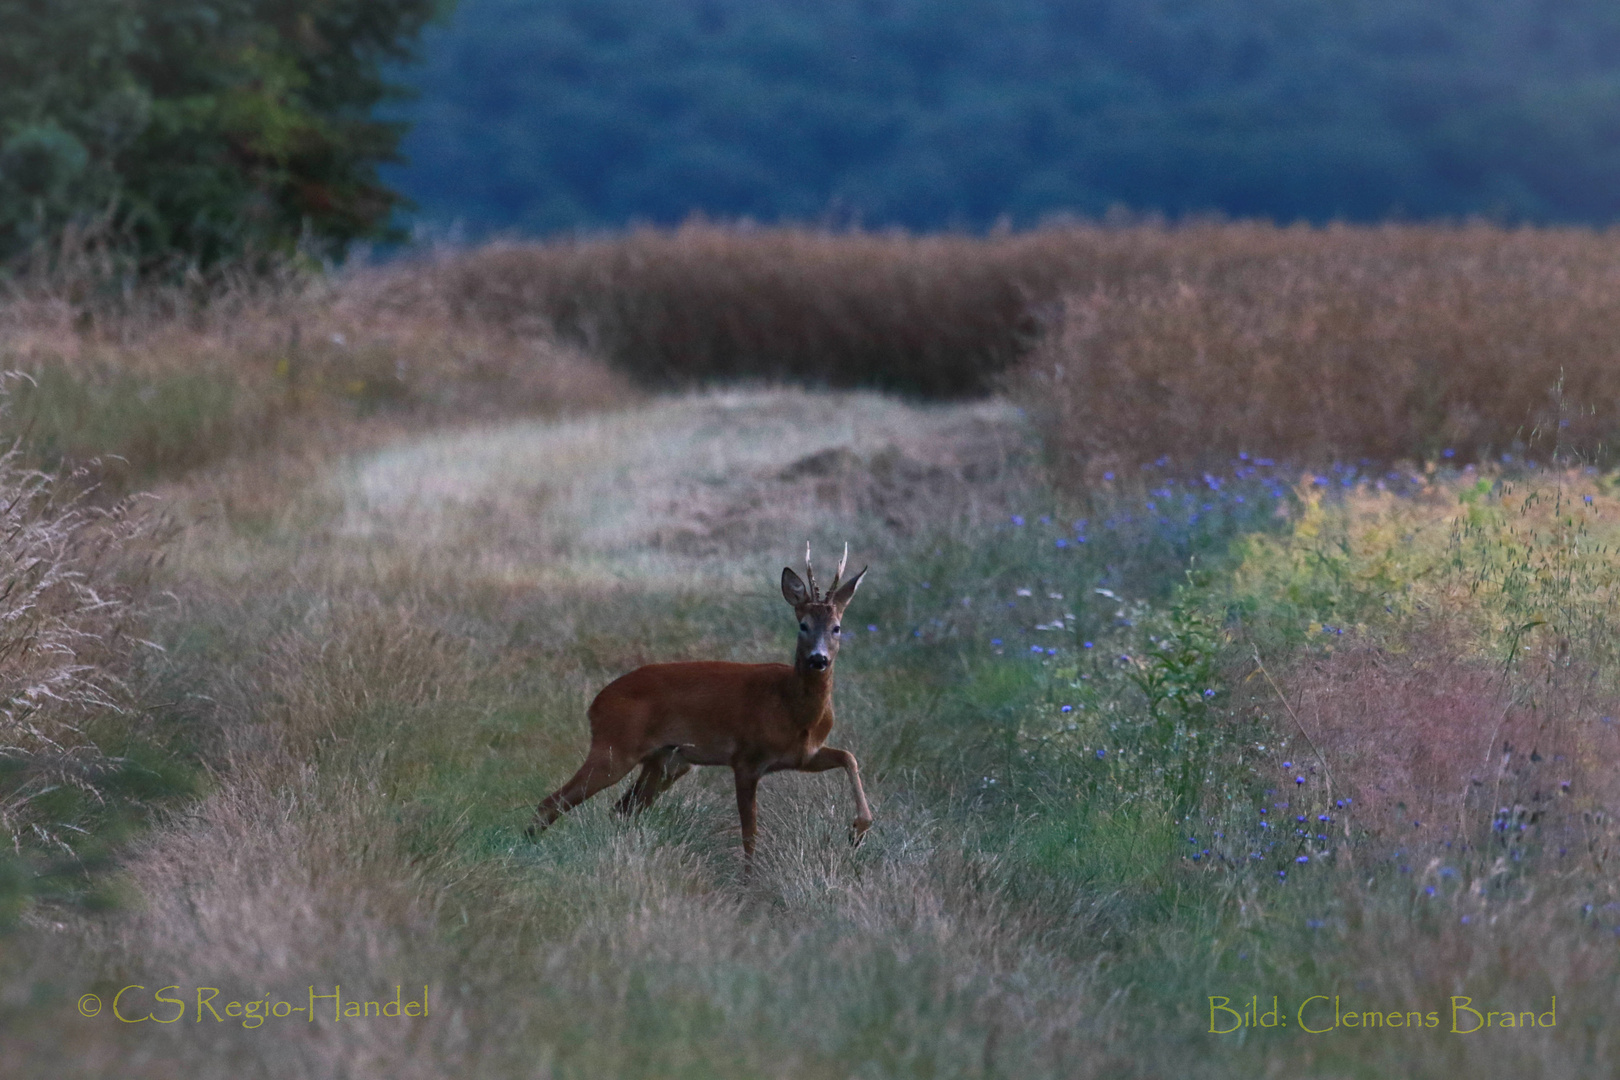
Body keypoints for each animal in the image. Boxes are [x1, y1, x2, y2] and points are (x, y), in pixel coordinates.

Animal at [528, 544, 874, 867]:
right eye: (803, 625)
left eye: (836, 627)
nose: (818, 659)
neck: (794, 711)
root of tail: (596, 704)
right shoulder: (746, 758)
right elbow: (750, 832)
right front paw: (749, 880)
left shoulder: (804, 756)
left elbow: (849, 757)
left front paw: (857, 830)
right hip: (616, 747)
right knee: (552, 803)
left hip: (667, 761)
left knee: (621, 809)